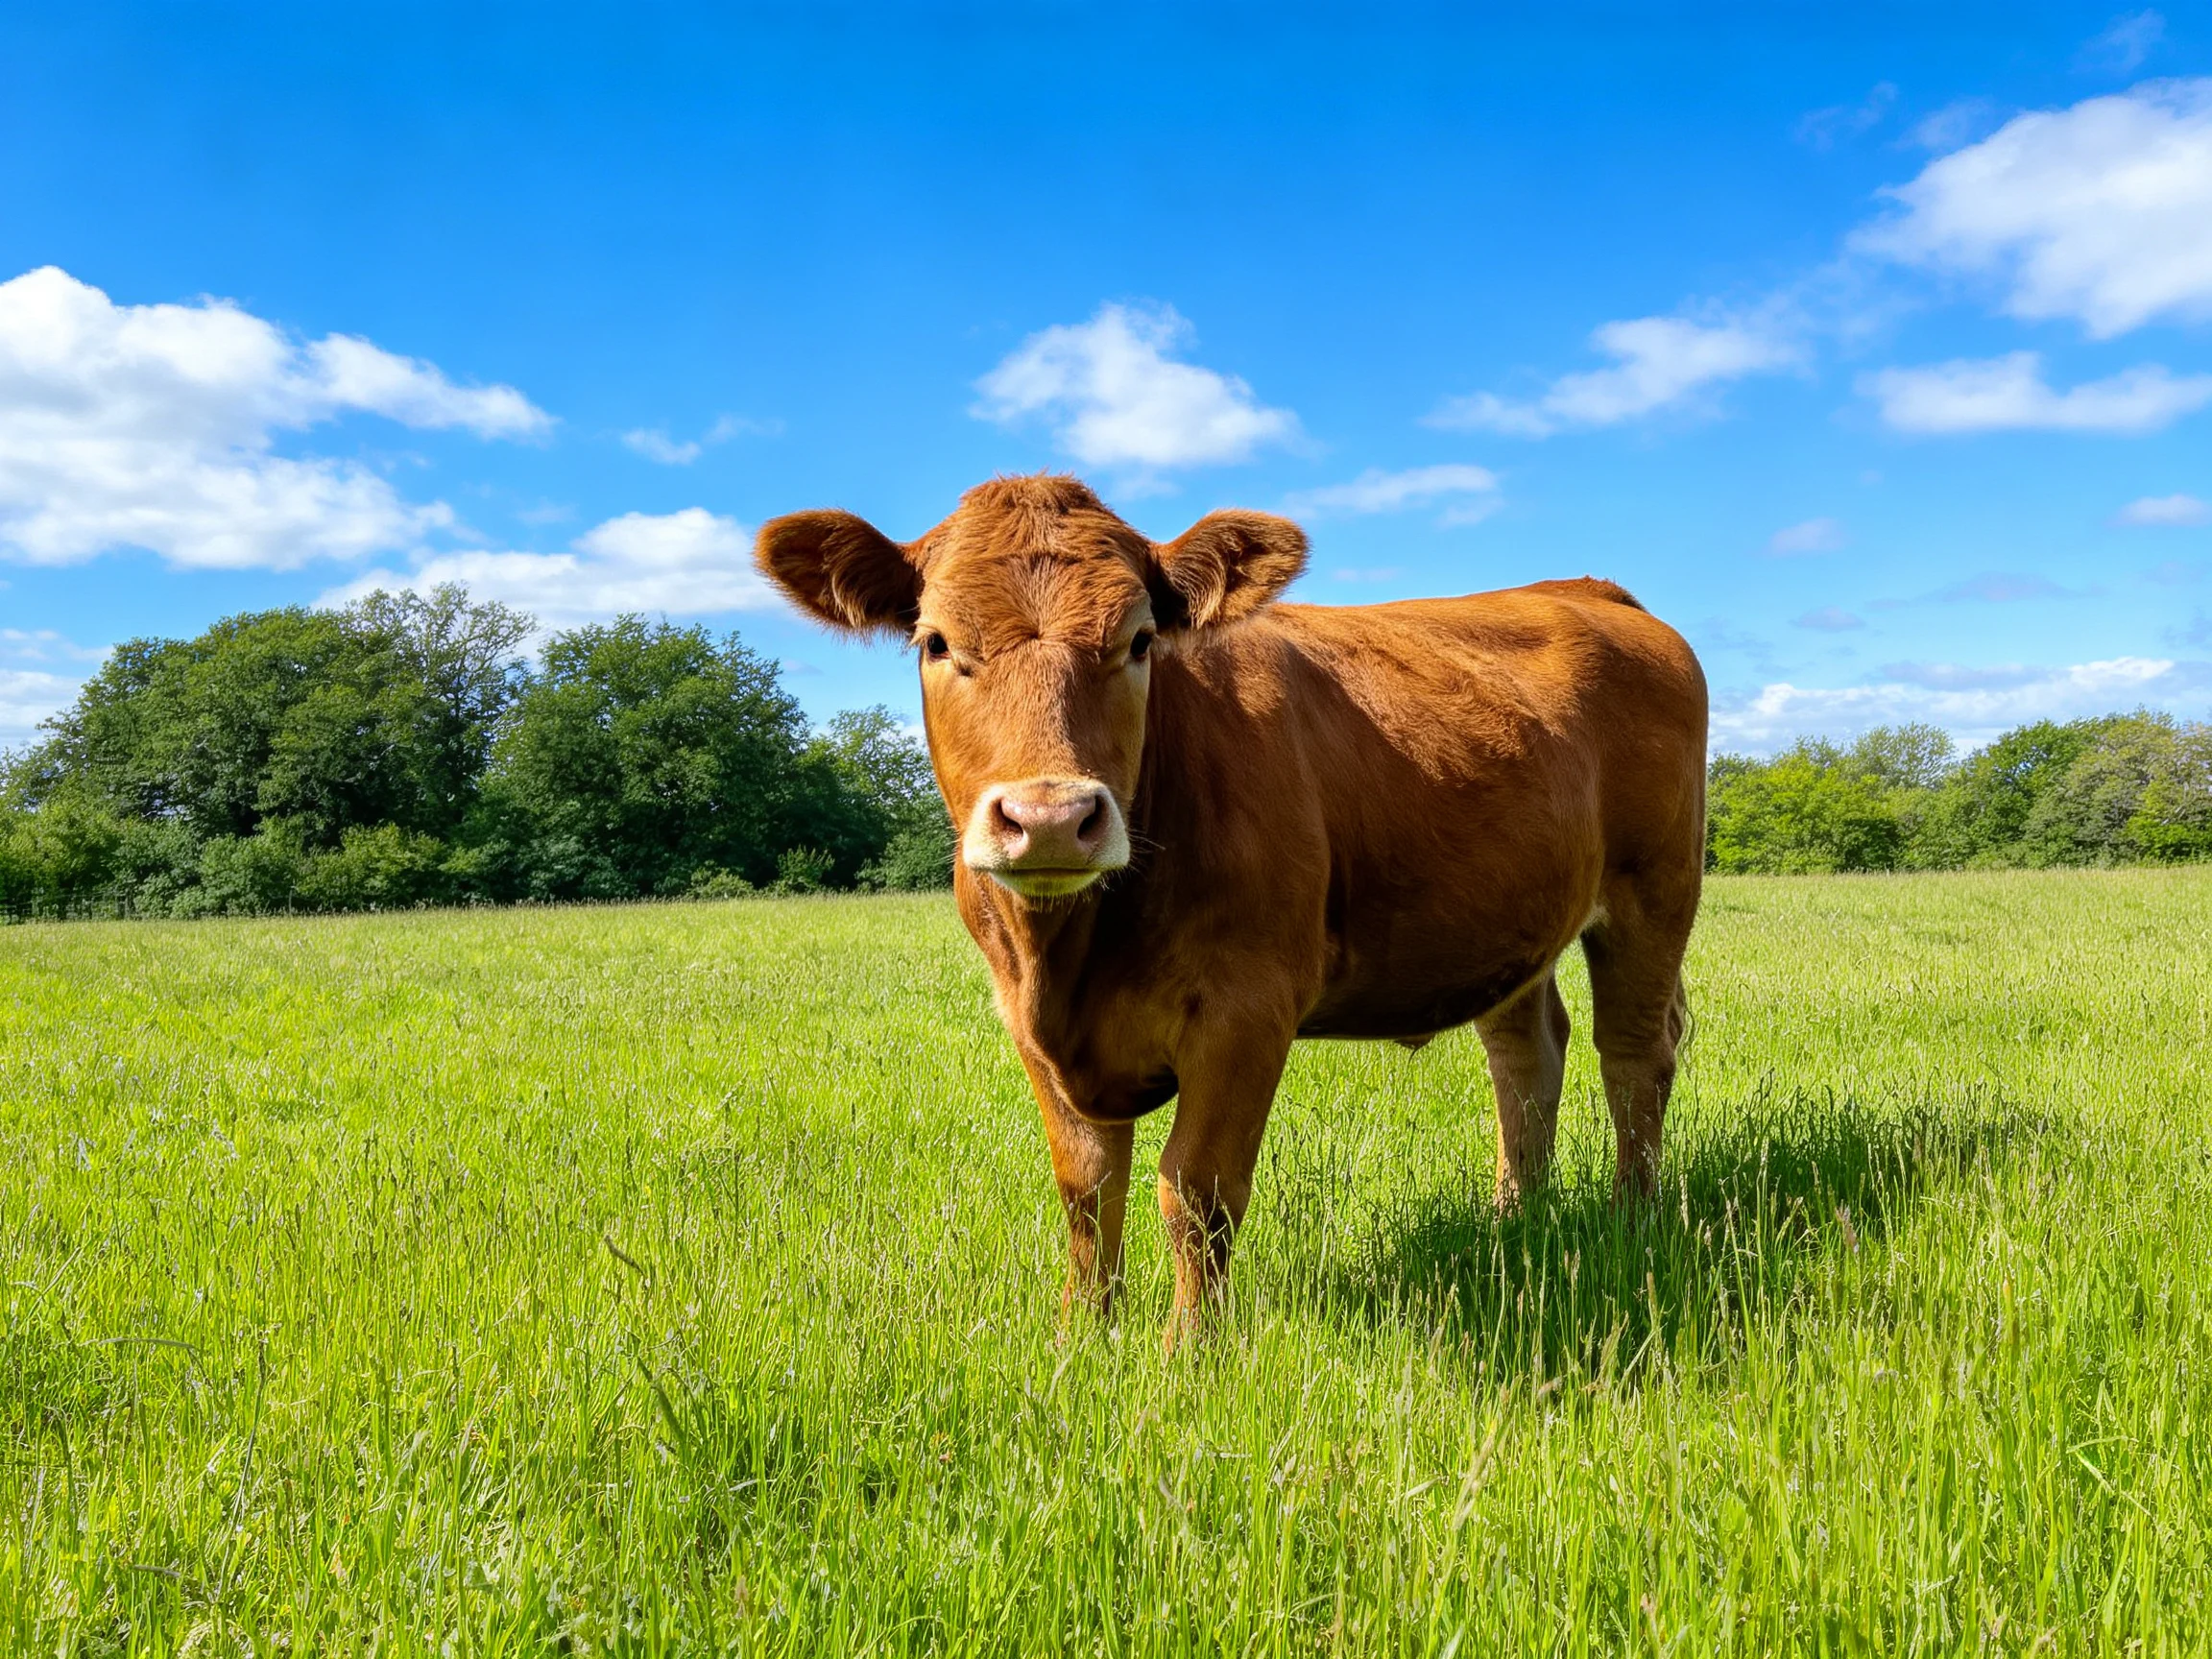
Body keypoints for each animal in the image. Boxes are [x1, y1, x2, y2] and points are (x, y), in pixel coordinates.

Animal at [755, 475, 1707, 1351]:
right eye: (937, 641)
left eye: (1139, 640)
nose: (1051, 817)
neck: (1071, 954)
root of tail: (1586, 589)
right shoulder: (1026, 1020)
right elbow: (1086, 1188)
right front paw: (1082, 1338)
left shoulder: (1248, 1008)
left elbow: (1197, 1187)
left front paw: (1190, 1352)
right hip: (1511, 922)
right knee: (1527, 1054)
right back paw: (1517, 1220)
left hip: (1654, 891)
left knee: (1633, 1053)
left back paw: (1631, 1219)